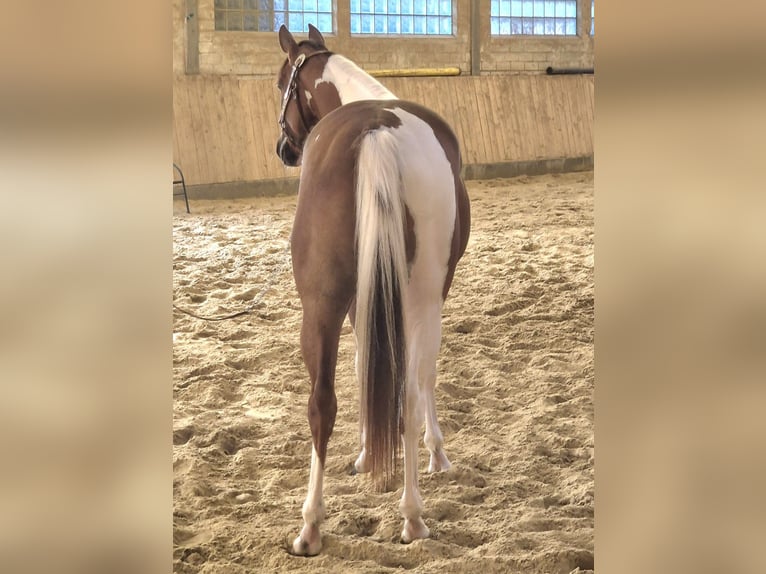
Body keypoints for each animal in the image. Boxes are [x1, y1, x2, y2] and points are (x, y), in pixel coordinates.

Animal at [274, 24, 470, 556]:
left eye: (280, 83)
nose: (283, 147)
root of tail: (377, 133)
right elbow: (417, 377)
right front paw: (435, 453)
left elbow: (367, 366)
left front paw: (367, 455)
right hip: (420, 300)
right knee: (408, 391)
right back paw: (412, 515)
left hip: (321, 304)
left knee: (322, 402)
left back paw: (311, 526)